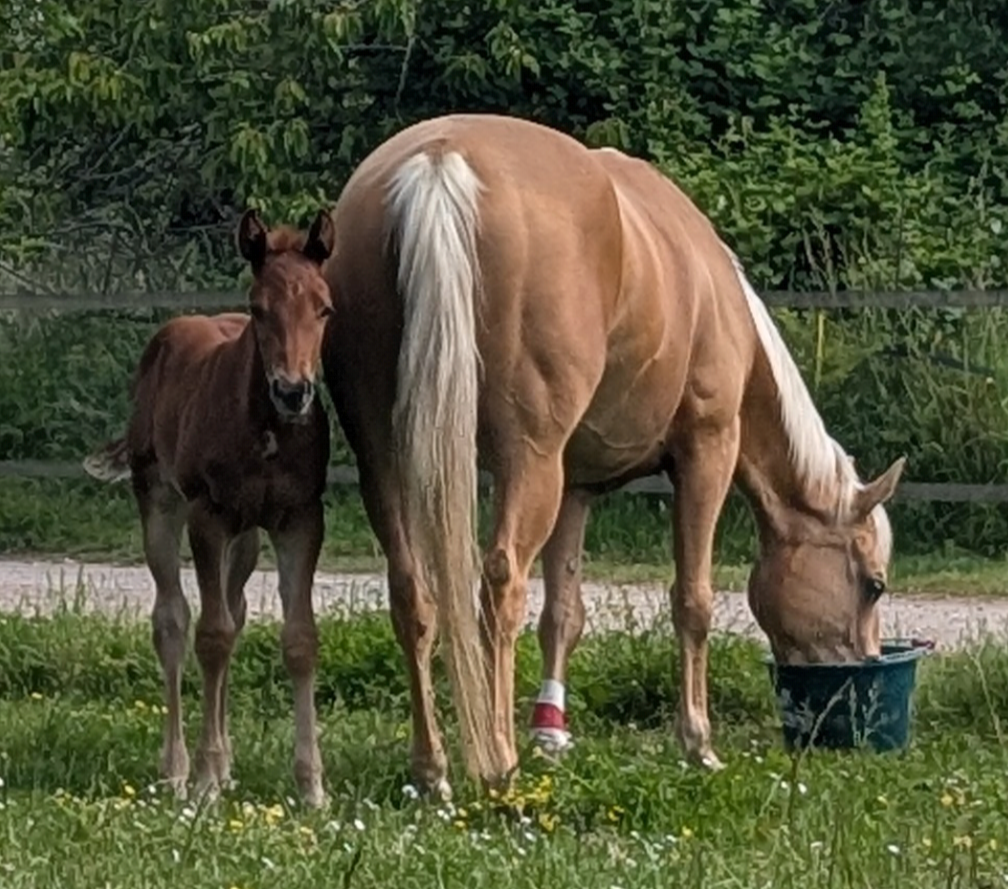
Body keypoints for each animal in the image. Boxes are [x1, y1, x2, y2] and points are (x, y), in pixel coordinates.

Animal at [82, 208, 336, 808]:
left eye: (324, 307)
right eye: (259, 308)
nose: (294, 392)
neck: (266, 433)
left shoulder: (299, 520)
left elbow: (298, 638)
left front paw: (311, 786)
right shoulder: (208, 517)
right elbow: (210, 636)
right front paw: (202, 779)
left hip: (245, 537)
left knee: (235, 610)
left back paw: (225, 766)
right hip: (159, 499)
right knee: (173, 620)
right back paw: (177, 768)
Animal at [318, 112, 906, 798]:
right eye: (873, 585)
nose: (860, 677)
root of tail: (439, 162)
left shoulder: (574, 487)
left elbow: (563, 612)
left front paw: (551, 733)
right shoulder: (705, 452)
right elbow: (692, 600)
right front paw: (697, 742)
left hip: (385, 460)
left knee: (413, 594)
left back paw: (433, 767)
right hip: (528, 461)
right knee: (499, 586)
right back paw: (498, 761)